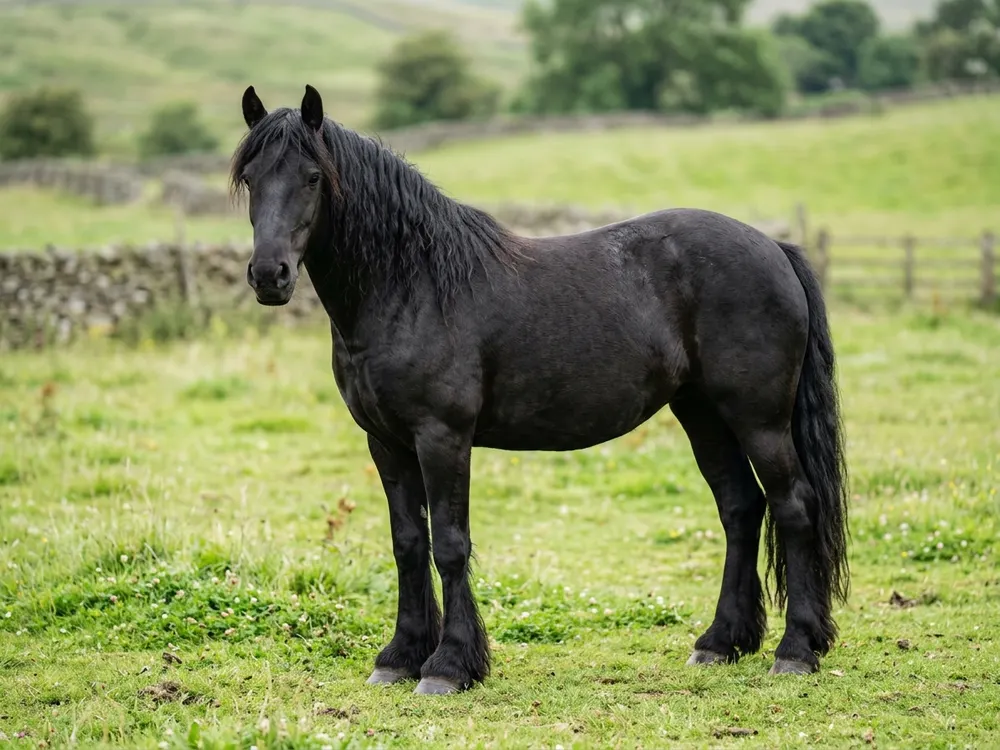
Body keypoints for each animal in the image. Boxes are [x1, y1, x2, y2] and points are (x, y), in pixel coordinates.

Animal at [230, 84, 850, 695]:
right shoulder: (386, 442)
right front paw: (400, 656)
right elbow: (407, 544)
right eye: (251, 177)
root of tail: (774, 248)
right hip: (702, 414)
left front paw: (448, 666)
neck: (413, 286)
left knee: (793, 506)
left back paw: (796, 651)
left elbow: (449, 544)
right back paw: (721, 643)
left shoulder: (441, 437)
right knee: (740, 508)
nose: (269, 275)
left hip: (758, 419)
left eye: (313, 177)